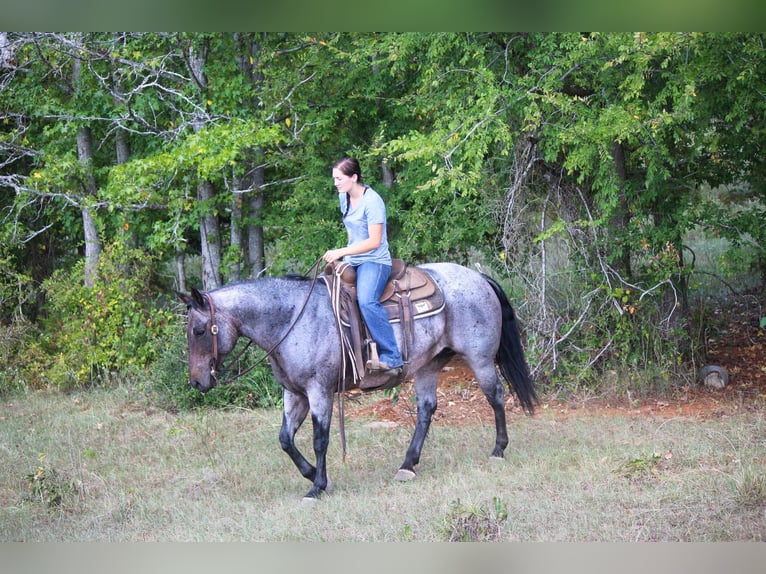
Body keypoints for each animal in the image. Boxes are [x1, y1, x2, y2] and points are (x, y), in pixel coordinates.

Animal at [180, 264, 540, 502]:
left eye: (199, 330)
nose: (197, 382)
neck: (291, 319)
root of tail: (478, 277)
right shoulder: (294, 393)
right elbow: (285, 439)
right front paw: (311, 474)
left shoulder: (319, 391)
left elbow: (320, 440)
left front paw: (317, 485)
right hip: (428, 365)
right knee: (426, 409)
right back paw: (407, 465)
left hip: (480, 358)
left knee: (496, 395)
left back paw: (498, 450)